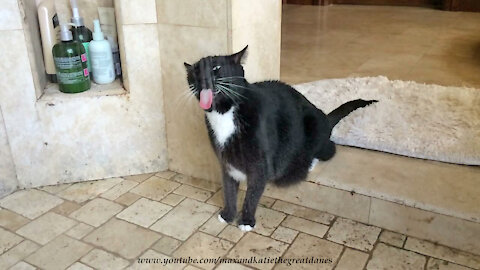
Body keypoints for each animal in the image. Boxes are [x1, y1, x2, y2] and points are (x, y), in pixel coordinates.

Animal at [184, 46, 376, 232]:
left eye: (216, 68)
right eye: (196, 71)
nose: (203, 79)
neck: (224, 111)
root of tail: (325, 118)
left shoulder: (260, 164)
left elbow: (252, 194)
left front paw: (246, 221)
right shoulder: (226, 162)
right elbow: (229, 190)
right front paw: (228, 215)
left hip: (314, 128)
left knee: (330, 148)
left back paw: (309, 162)